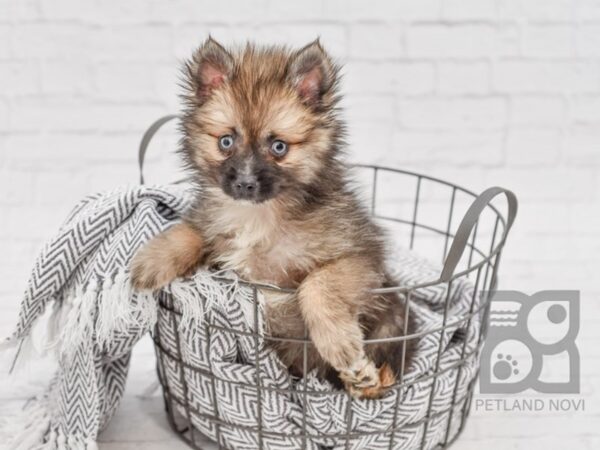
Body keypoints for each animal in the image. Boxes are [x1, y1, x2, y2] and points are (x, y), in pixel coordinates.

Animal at [131, 37, 412, 398]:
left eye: (279, 147)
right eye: (226, 141)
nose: (244, 183)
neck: (260, 215)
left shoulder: (360, 255)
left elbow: (317, 285)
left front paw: (338, 344)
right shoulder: (214, 232)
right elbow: (190, 231)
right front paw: (151, 261)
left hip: (391, 318)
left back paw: (363, 378)